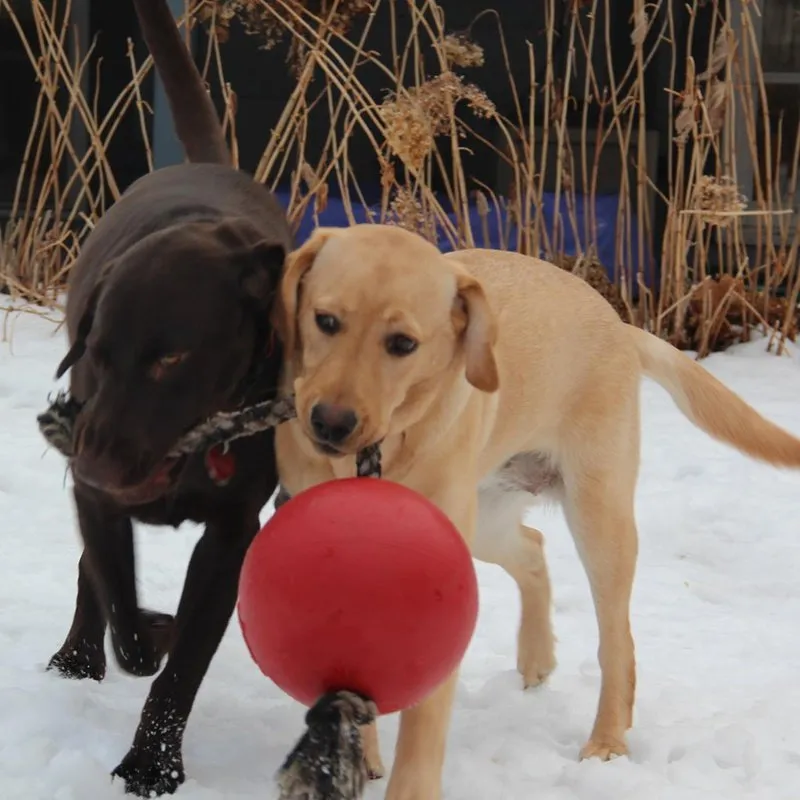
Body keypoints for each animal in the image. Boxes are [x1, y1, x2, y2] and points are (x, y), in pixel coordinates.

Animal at [272, 222, 800, 796]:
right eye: (326, 321)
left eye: (402, 344)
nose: (330, 422)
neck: (381, 451)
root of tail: (617, 323)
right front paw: (359, 750)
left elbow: (423, 719)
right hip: (486, 519)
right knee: (533, 548)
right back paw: (537, 654)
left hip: (597, 517)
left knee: (617, 642)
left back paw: (607, 739)